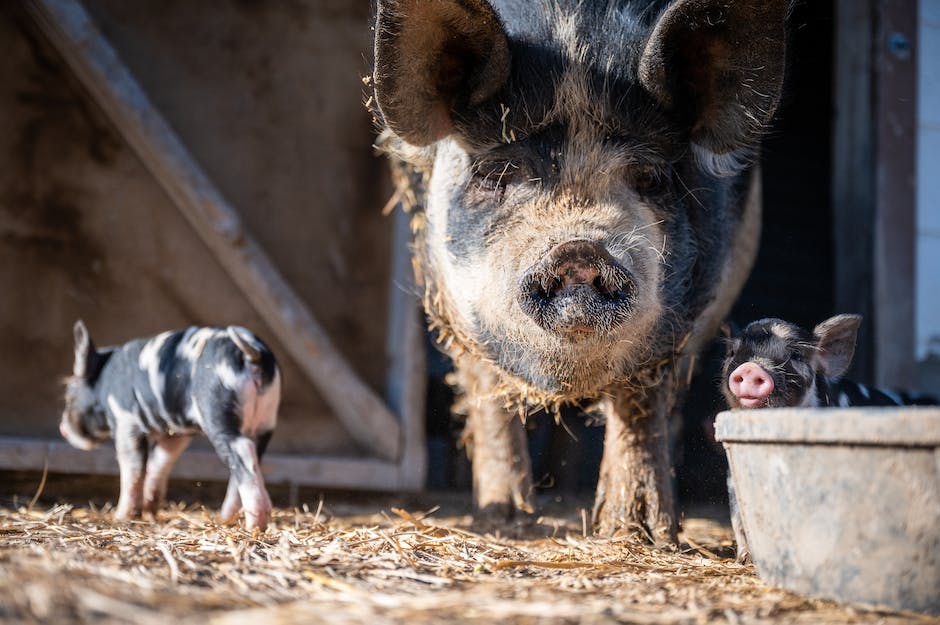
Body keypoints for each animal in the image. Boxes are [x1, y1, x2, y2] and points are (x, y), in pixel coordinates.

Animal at [370, 0, 788, 540]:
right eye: (497, 174)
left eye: (650, 178)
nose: (579, 250)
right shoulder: (444, 289)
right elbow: (486, 386)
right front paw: (506, 522)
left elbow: (641, 397)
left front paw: (639, 532)